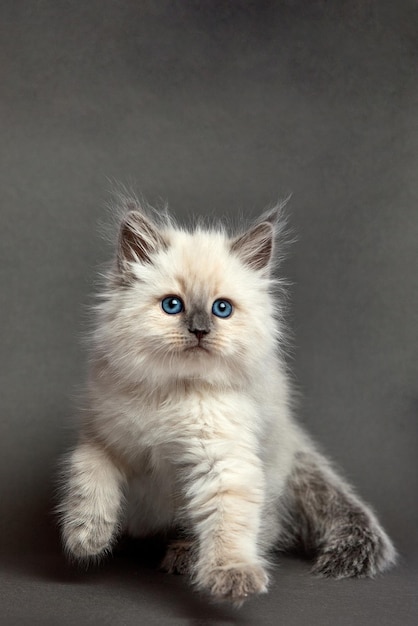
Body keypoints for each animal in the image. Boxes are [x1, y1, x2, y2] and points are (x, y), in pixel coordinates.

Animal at [57, 199, 396, 600]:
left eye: (222, 309)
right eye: (172, 306)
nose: (200, 330)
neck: (172, 391)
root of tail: (294, 440)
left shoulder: (223, 459)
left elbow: (228, 521)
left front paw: (232, 574)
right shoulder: (103, 439)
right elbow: (89, 477)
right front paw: (87, 535)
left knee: (264, 530)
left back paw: (186, 555)